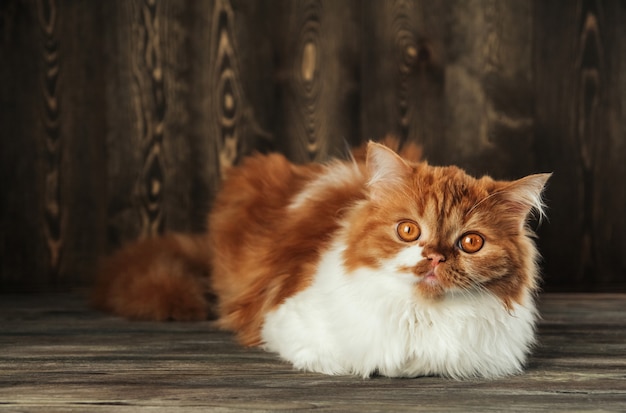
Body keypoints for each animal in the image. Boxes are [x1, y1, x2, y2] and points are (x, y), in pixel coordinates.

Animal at [90, 139, 548, 380]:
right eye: (408, 231)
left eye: (471, 242)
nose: (435, 257)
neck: (420, 314)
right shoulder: (284, 323)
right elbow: (357, 361)